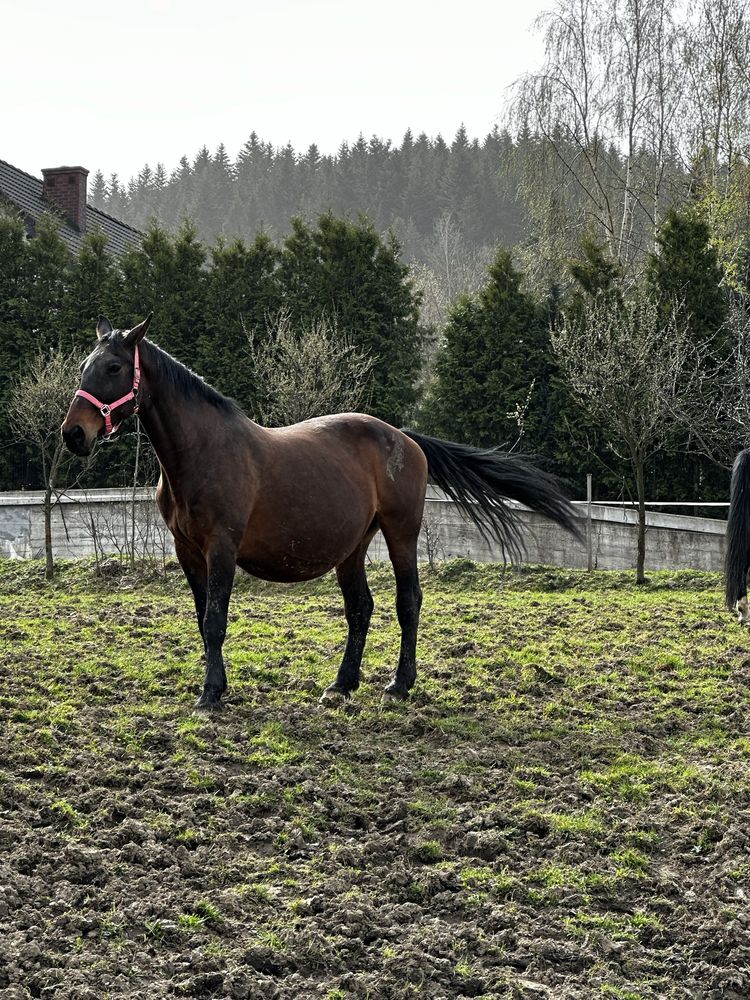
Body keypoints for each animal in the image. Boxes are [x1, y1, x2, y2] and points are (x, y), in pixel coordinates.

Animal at [61, 316, 584, 708]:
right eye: (85, 365)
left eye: (112, 366)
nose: (74, 434)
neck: (203, 452)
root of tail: (405, 438)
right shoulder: (187, 551)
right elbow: (202, 619)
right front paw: (216, 686)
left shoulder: (222, 548)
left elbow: (215, 619)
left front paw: (211, 694)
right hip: (352, 547)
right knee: (361, 608)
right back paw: (342, 684)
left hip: (401, 533)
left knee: (407, 602)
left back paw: (399, 685)